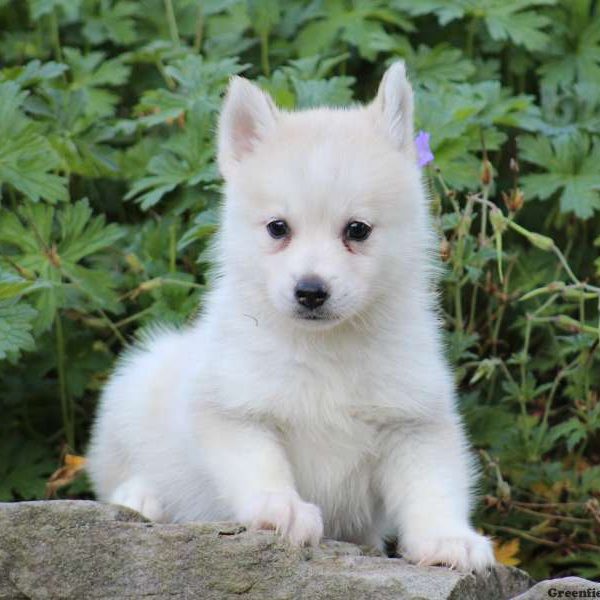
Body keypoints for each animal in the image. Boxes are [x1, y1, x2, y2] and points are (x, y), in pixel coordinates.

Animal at [86, 62, 494, 572]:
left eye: (357, 230)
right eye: (278, 228)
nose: (311, 291)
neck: (325, 350)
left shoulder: (415, 422)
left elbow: (433, 486)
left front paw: (447, 539)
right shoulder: (234, 410)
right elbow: (260, 465)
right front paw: (282, 509)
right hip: (132, 394)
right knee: (117, 473)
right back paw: (142, 498)